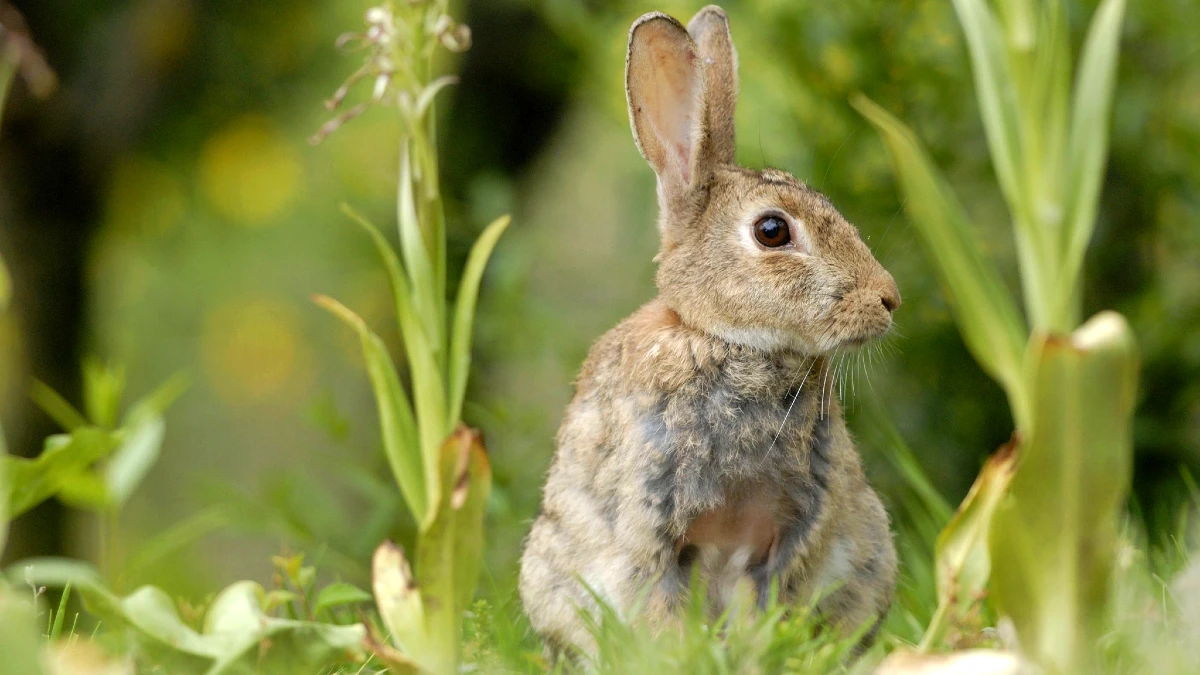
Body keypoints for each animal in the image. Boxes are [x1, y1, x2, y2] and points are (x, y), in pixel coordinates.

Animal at [519, 5, 899, 658]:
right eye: (773, 231)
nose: (889, 299)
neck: (728, 340)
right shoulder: (650, 524)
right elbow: (659, 603)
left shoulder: (789, 531)